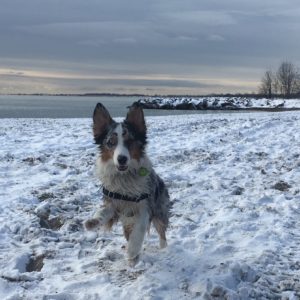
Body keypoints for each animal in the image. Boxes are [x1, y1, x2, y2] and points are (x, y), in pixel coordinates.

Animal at [84, 102, 171, 264]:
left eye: (130, 141)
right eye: (110, 142)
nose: (122, 159)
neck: (124, 177)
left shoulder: (145, 207)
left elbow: (139, 231)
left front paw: (132, 252)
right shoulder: (113, 203)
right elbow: (103, 212)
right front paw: (93, 221)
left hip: (160, 209)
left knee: (161, 231)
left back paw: (161, 249)